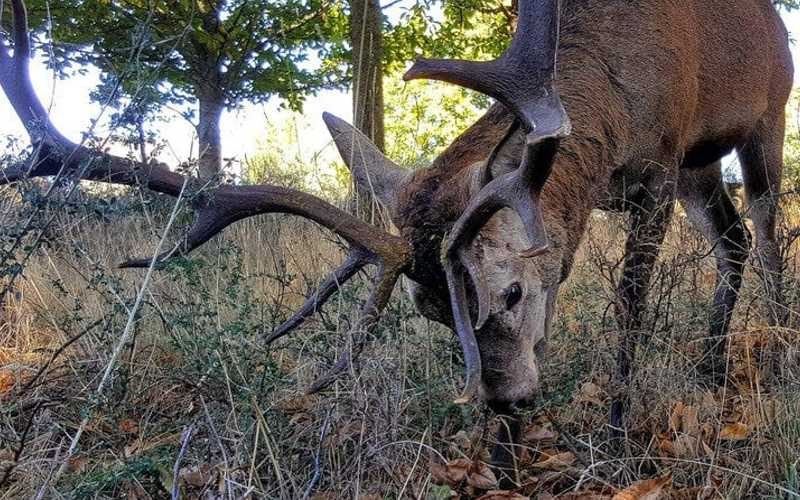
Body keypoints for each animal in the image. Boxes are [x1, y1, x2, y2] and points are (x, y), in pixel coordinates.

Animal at [0, 0, 792, 486]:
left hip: (764, 118)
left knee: (766, 234)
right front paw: (505, 464)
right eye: (432, 310)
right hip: (700, 169)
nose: (506, 401)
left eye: (510, 290)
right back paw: (712, 367)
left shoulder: (660, 162)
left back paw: (778, 355)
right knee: (731, 241)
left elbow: (629, 302)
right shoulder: (633, 182)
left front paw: (620, 436)